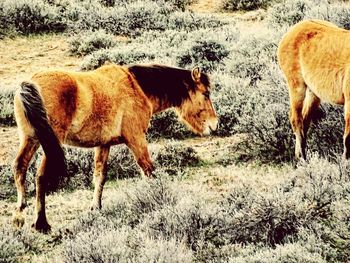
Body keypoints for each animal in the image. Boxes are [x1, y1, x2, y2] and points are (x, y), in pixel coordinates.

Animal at [12, 63, 219, 232]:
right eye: (206, 94)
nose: (215, 125)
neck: (136, 87)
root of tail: (29, 84)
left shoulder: (104, 145)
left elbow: (100, 177)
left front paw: (96, 208)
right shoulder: (136, 139)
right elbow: (148, 171)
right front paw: (157, 201)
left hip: (31, 139)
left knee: (20, 167)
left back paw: (19, 215)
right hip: (49, 143)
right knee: (40, 176)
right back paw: (41, 223)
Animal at [280, 19, 350, 161]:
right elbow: (348, 139)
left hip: (313, 92)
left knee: (305, 120)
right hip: (297, 86)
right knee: (296, 120)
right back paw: (302, 159)